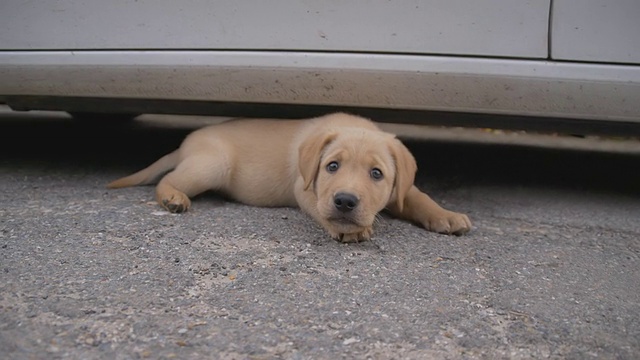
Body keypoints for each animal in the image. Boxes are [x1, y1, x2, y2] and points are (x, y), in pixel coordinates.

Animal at [109, 112, 470, 242]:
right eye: (332, 167)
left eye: (377, 174)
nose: (345, 201)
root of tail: (187, 144)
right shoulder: (306, 187)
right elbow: (320, 207)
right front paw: (348, 228)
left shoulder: (399, 190)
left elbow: (418, 196)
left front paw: (446, 215)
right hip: (211, 164)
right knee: (166, 179)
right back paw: (172, 197)